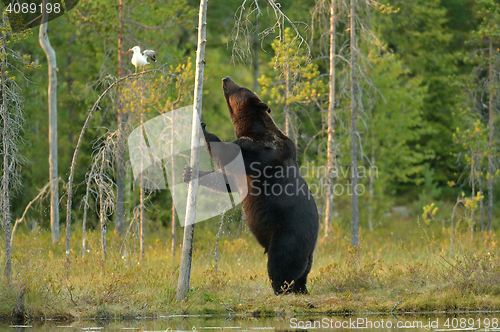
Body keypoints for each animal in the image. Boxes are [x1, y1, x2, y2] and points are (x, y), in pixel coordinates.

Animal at [185, 77, 320, 294]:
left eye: (240, 88)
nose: (226, 78)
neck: (251, 129)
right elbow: (229, 181)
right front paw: (189, 173)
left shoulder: (262, 152)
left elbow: (228, 153)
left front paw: (202, 126)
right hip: (306, 252)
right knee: (302, 273)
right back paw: (300, 288)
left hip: (288, 234)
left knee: (281, 263)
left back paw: (280, 289)